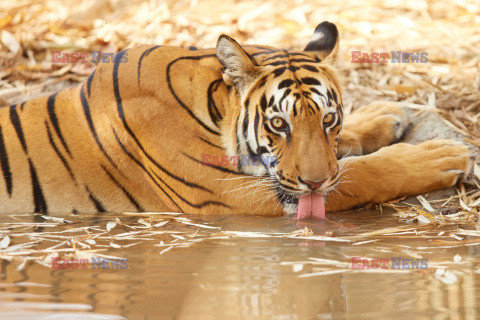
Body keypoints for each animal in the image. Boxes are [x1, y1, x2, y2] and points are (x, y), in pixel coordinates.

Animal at [0, 21, 472, 219]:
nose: (315, 183)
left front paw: (383, 115)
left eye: (329, 119)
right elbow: (363, 173)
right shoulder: (237, 194)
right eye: (278, 125)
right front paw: (443, 156)